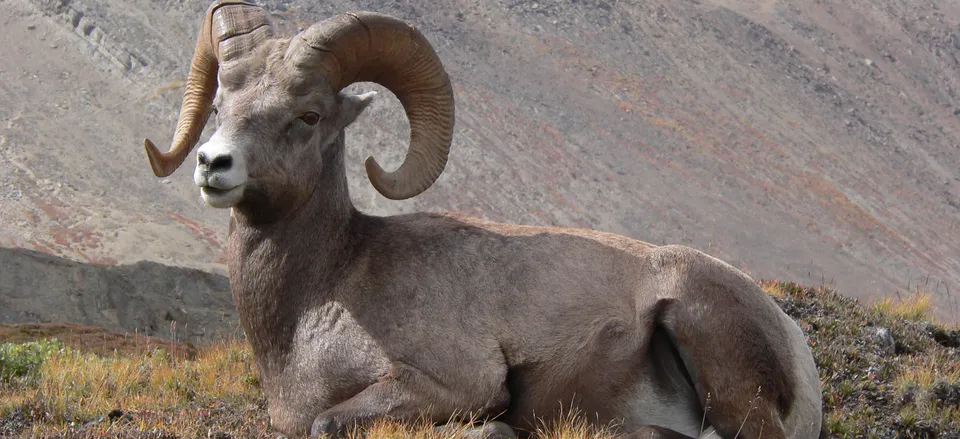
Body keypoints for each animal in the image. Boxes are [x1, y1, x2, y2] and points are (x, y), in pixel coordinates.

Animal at [142, 1, 824, 438]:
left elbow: (328, 420)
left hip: (700, 331)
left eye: (307, 116)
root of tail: (795, 347)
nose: (212, 164)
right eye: (221, 106)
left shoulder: (456, 387)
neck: (322, 296)